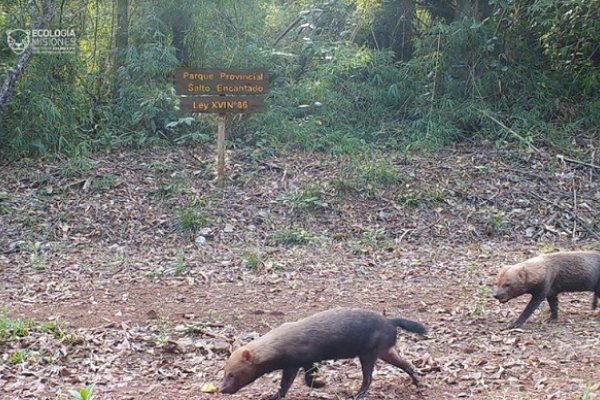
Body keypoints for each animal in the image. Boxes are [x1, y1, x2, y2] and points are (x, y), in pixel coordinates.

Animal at [219, 308, 426, 398]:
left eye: (232, 374)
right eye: (224, 372)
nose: (221, 389)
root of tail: (390, 321)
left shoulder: (299, 361)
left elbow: (296, 381)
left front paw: (320, 383)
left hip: (369, 353)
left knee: (368, 379)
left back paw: (357, 395)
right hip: (385, 351)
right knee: (407, 364)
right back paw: (417, 382)